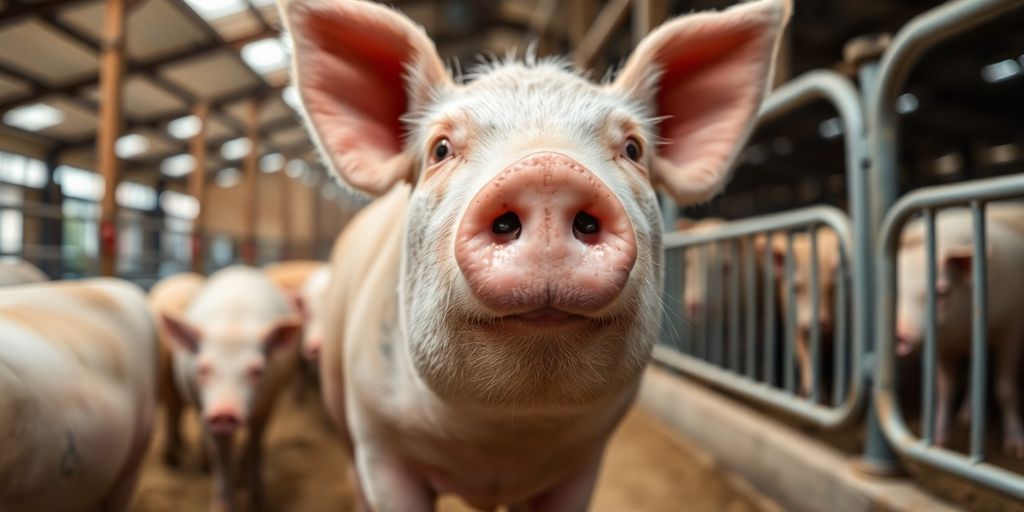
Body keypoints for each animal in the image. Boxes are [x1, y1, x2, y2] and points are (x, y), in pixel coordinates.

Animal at [159, 266, 303, 512]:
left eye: (257, 370)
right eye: (203, 368)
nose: (224, 413)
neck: (233, 325)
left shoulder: (268, 401)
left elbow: (256, 446)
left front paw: (258, 504)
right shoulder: (204, 408)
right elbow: (221, 456)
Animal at [281, 0, 790, 509]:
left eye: (633, 149)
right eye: (440, 149)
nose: (547, 172)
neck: (506, 436)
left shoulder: (585, 463)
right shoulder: (380, 445)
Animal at [896, 204, 1024, 456]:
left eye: (942, 291)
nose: (900, 333)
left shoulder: (1011, 328)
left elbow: (1005, 388)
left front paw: (1016, 448)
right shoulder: (943, 346)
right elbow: (946, 389)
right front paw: (939, 443)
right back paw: (966, 418)